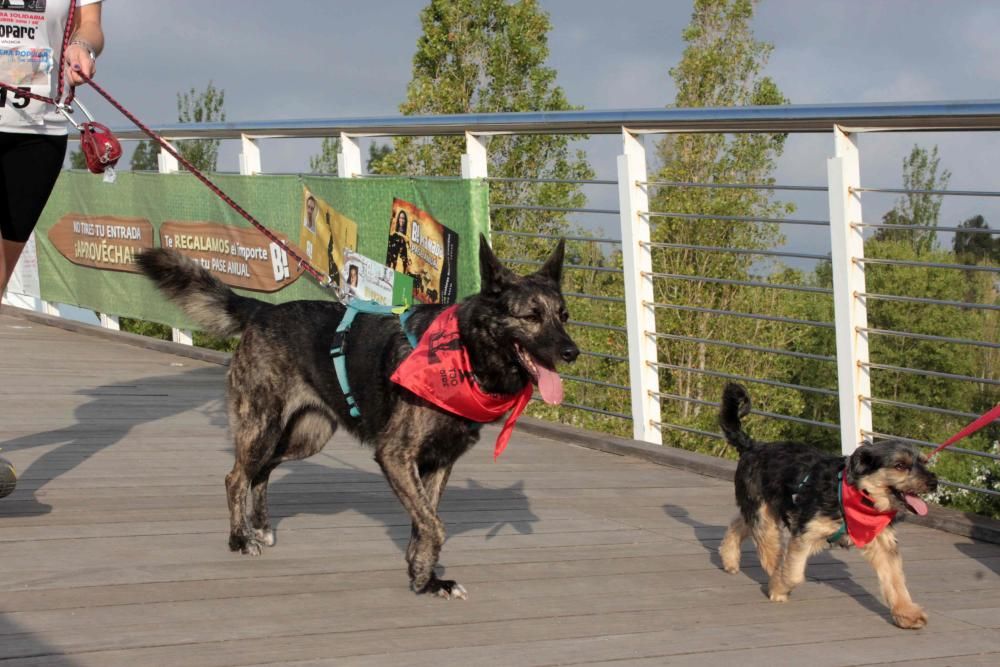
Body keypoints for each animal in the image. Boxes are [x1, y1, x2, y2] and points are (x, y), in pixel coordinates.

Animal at [720, 384, 936, 628]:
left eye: (923, 462)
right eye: (900, 465)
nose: (934, 482)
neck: (856, 493)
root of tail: (753, 446)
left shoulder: (882, 542)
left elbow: (895, 579)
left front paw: (907, 613)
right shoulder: (805, 532)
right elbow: (793, 573)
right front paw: (778, 588)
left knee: (739, 523)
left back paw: (729, 558)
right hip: (763, 514)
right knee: (767, 547)